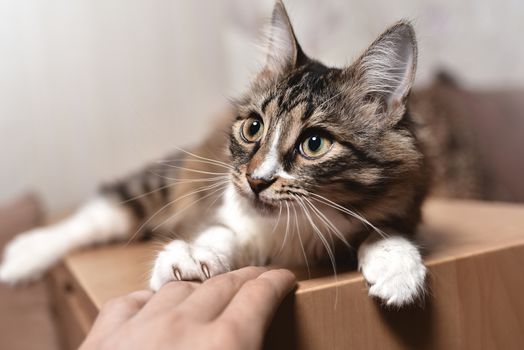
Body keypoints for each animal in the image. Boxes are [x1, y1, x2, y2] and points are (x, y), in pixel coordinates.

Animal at [0, 0, 428, 306]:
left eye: (314, 144)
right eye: (253, 128)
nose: (257, 181)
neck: (293, 230)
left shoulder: (405, 198)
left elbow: (384, 228)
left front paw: (397, 267)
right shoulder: (222, 208)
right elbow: (220, 233)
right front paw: (190, 257)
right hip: (165, 180)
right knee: (102, 212)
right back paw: (24, 254)